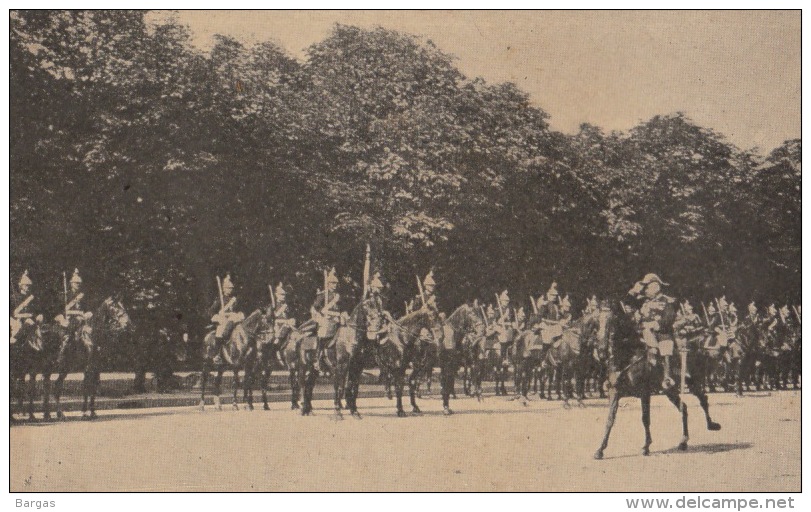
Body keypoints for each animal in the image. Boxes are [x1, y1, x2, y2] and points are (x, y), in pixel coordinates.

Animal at [592, 300, 720, 460]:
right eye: (597, 321)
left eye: (613, 320)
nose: (601, 351)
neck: (628, 355)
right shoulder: (614, 392)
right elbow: (610, 420)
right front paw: (600, 449)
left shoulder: (644, 392)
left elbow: (645, 418)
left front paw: (646, 446)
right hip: (670, 391)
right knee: (684, 408)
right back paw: (683, 441)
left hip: (693, 383)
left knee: (703, 400)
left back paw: (712, 425)